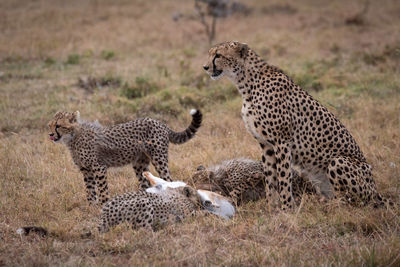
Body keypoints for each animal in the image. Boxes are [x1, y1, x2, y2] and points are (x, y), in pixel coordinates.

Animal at [47, 109, 202, 205]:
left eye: (58, 125)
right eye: (50, 125)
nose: (50, 134)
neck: (72, 137)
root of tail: (158, 122)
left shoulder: (98, 167)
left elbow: (102, 189)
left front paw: (103, 205)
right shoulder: (86, 170)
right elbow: (89, 190)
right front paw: (92, 207)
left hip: (159, 159)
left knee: (168, 180)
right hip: (139, 164)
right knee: (145, 183)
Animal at [203, 41, 390, 211]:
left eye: (218, 55)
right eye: (210, 54)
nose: (205, 67)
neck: (246, 83)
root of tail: (376, 190)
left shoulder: (282, 142)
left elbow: (284, 178)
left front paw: (287, 209)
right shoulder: (266, 145)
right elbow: (270, 180)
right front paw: (272, 209)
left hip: (339, 162)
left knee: (353, 202)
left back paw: (331, 206)